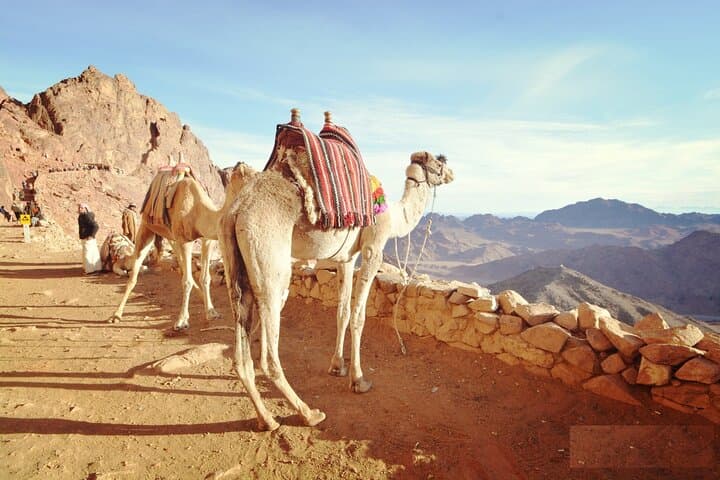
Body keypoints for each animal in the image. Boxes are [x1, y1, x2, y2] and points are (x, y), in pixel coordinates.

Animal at [109, 160, 254, 331]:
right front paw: (181, 321)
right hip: (147, 228)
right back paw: (116, 315)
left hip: (171, 235)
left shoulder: (207, 240)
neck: (200, 211)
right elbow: (186, 281)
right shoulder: (185, 240)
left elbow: (205, 277)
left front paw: (211, 311)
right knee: (135, 270)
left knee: (181, 264)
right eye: (246, 176)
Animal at [218, 113, 454, 431]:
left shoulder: (345, 259)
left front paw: (336, 366)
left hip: (236, 266)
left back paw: (266, 419)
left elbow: (341, 311)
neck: (393, 217)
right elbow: (358, 315)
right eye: (439, 163)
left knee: (242, 354)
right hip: (270, 264)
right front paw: (358, 379)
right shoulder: (373, 249)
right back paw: (308, 413)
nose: (451, 173)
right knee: (268, 354)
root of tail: (236, 211)